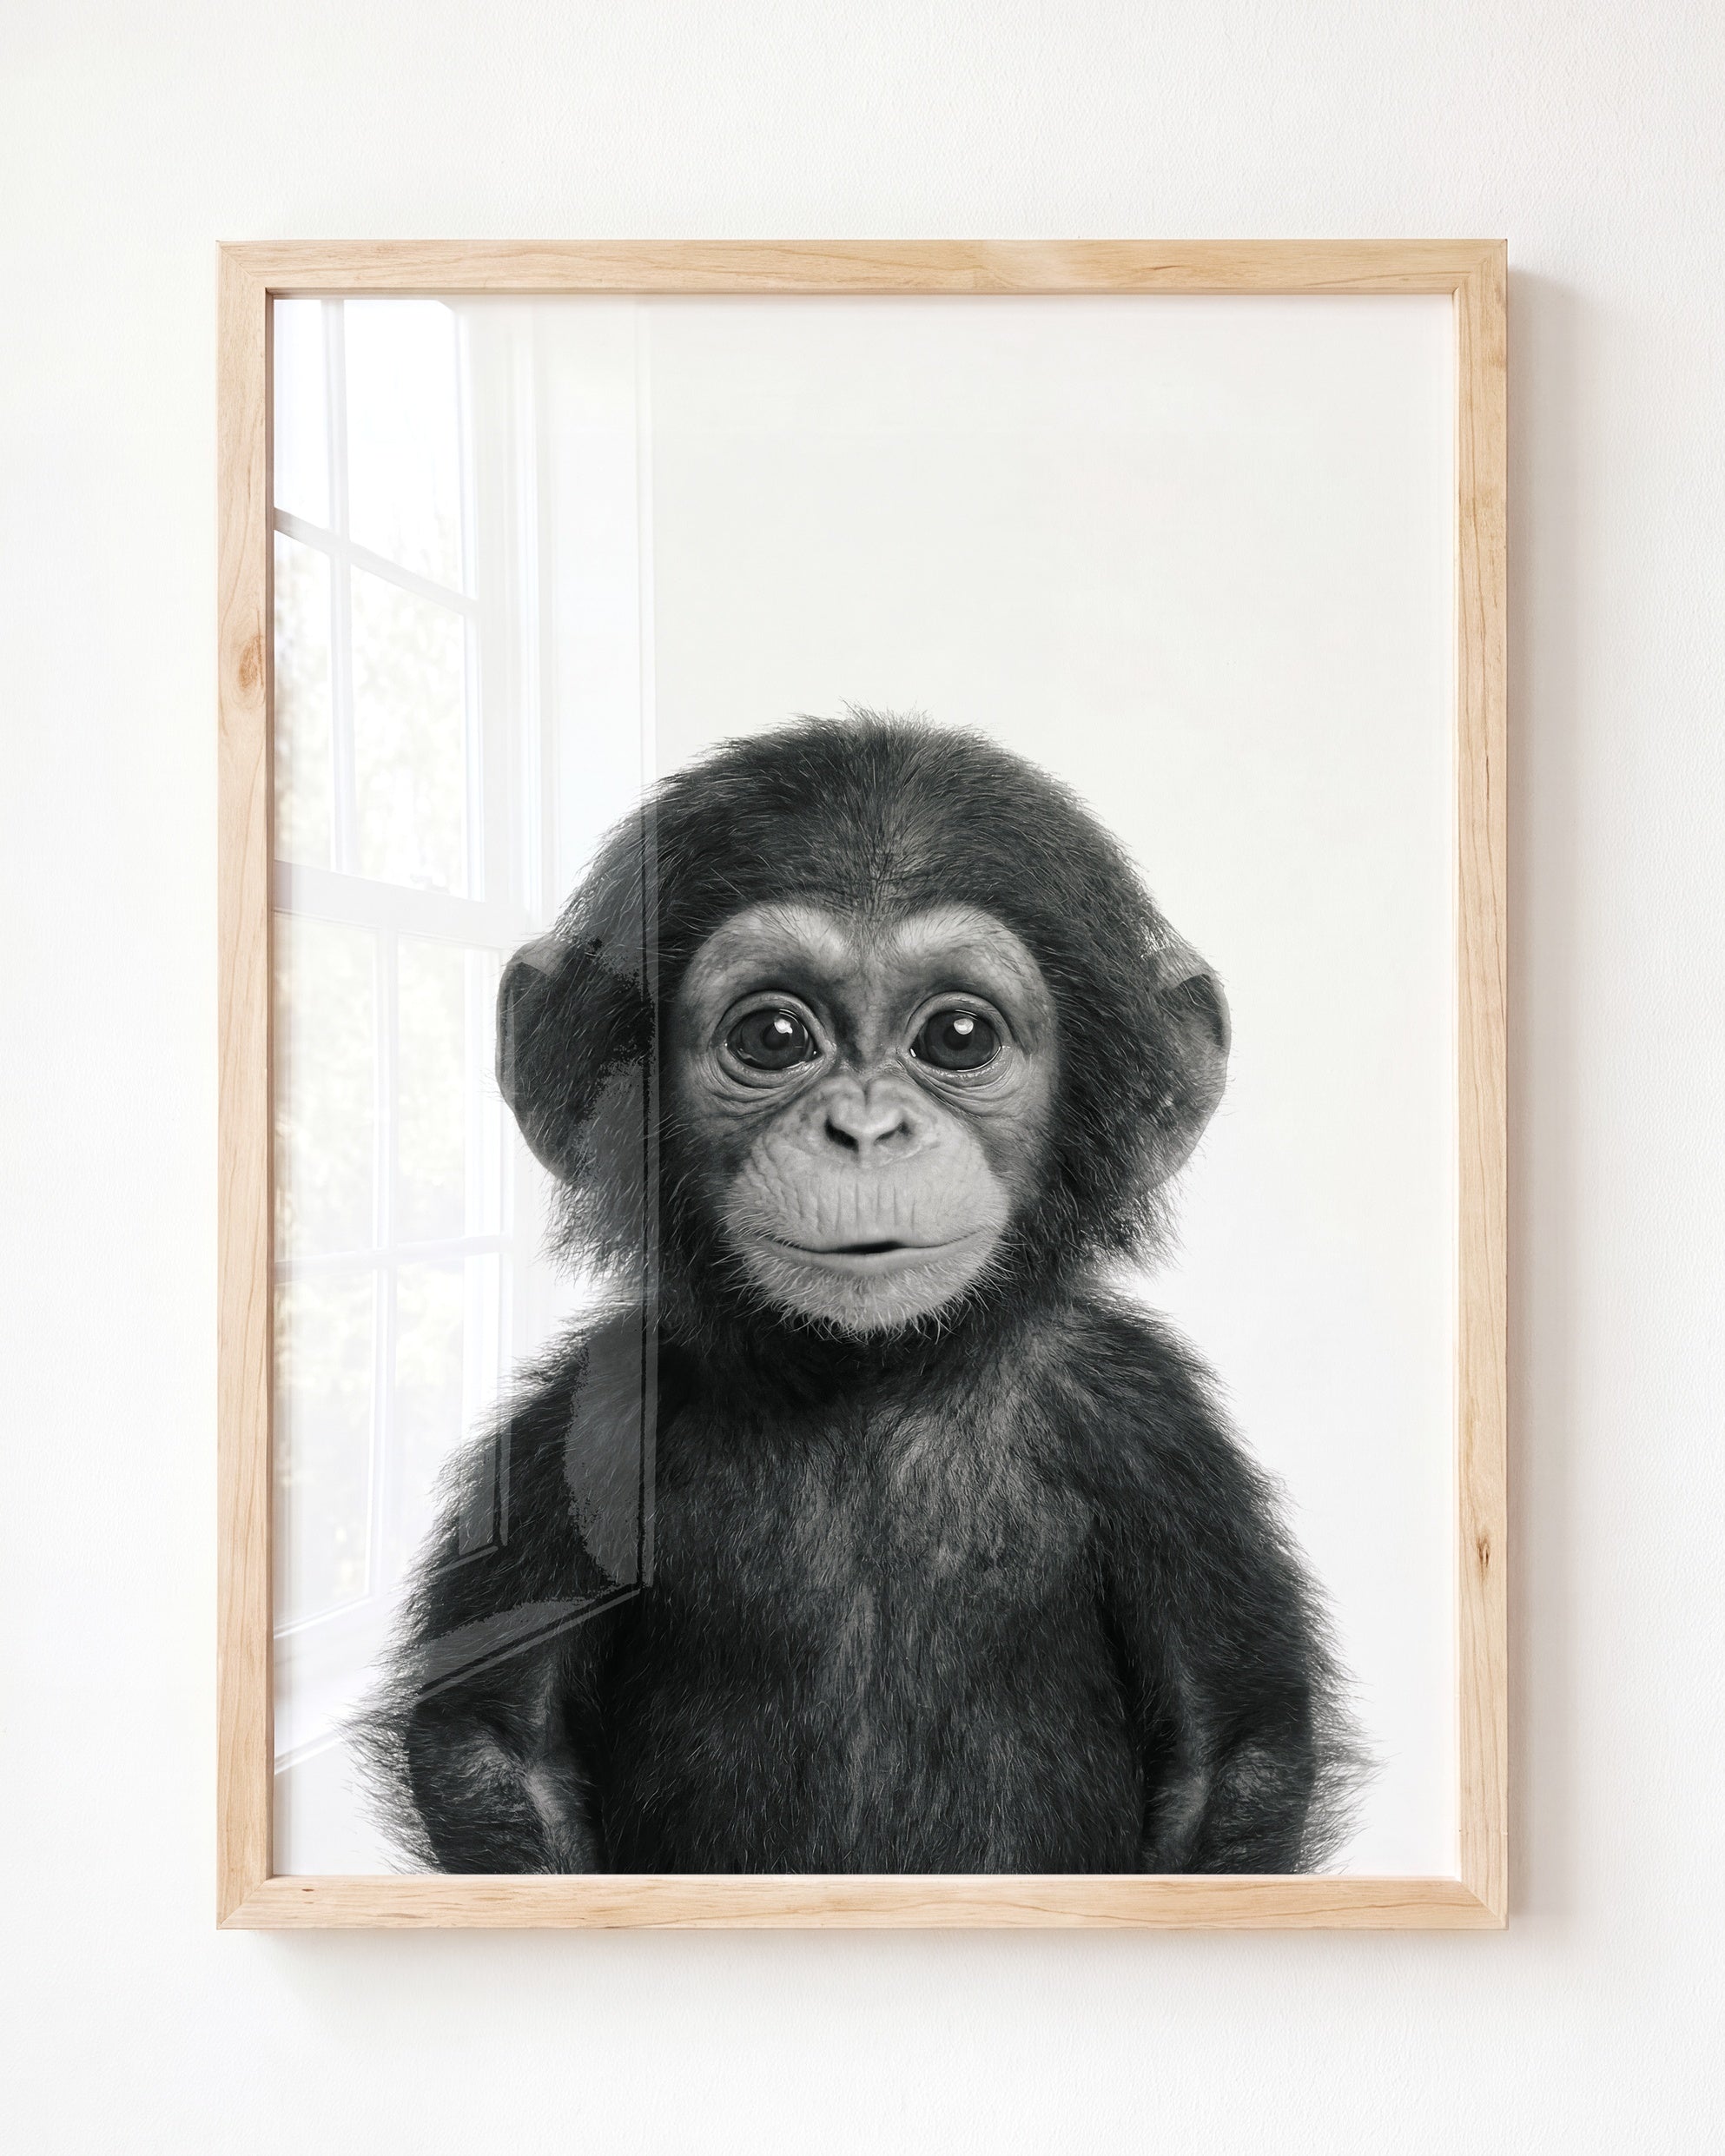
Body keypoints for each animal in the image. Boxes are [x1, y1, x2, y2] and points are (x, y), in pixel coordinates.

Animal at [359, 713, 1364, 1874]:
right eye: (772, 1037)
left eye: (958, 1037)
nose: (867, 1129)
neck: (870, 1378)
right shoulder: (585, 1423)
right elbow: (497, 1742)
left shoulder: (1152, 1429)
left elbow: (1229, 1746)